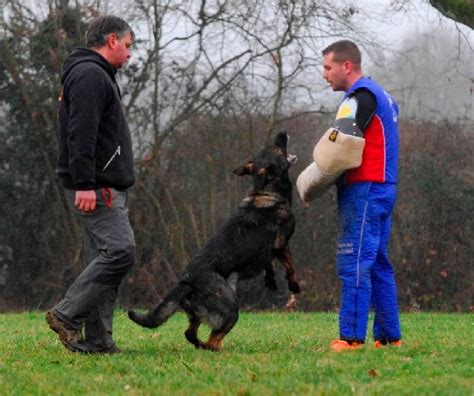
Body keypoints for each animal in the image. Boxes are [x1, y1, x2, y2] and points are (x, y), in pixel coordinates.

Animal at [130, 131, 300, 352]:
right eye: (277, 149)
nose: (282, 132)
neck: (265, 191)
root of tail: (187, 281)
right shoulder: (282, 244)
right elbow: (290, 266)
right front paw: (294, 285)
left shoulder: (268, 250)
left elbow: (268, 263)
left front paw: (270, 279)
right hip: (230, 308)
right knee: (214, 339)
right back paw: (218, 349)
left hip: (198, 314)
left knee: (190, 333)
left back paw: (200, 345)